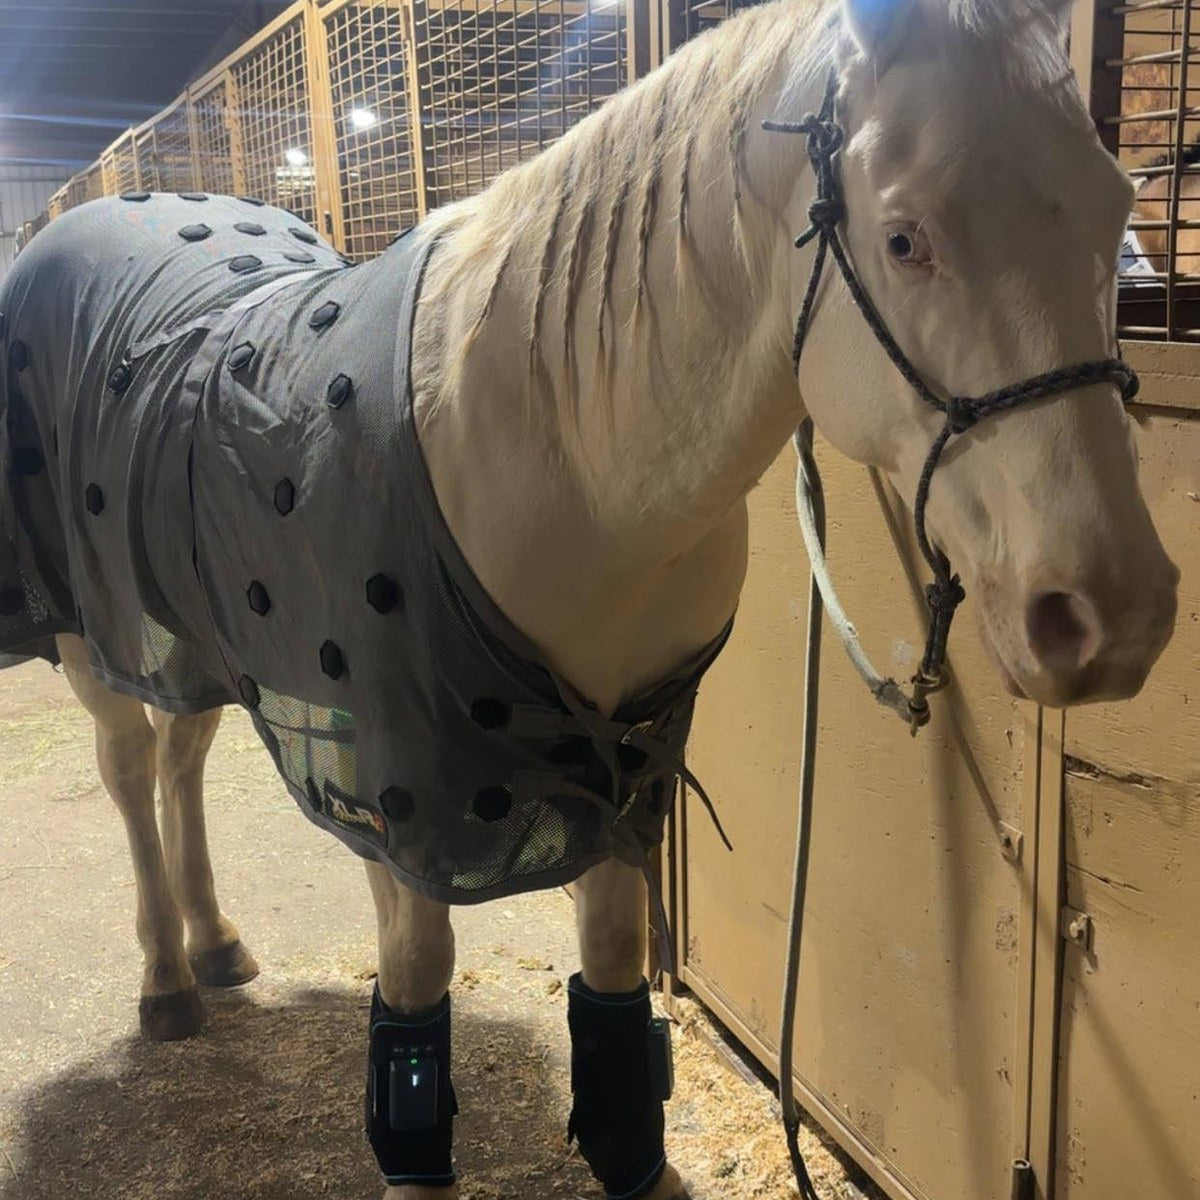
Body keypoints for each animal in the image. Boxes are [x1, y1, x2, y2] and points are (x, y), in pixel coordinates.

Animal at [0, 1, 1179, 1198]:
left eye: (1119, 211)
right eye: (904, 238)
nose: (1115, 612)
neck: (558, 454)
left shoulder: (630, 757)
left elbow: (613, 973)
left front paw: (632, 1158)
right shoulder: (401, 795)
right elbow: (416, 980)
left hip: (182, 632)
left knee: (182, 756)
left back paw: (217, 946)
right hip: (88, 636)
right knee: (130, 766)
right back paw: (166, 980)